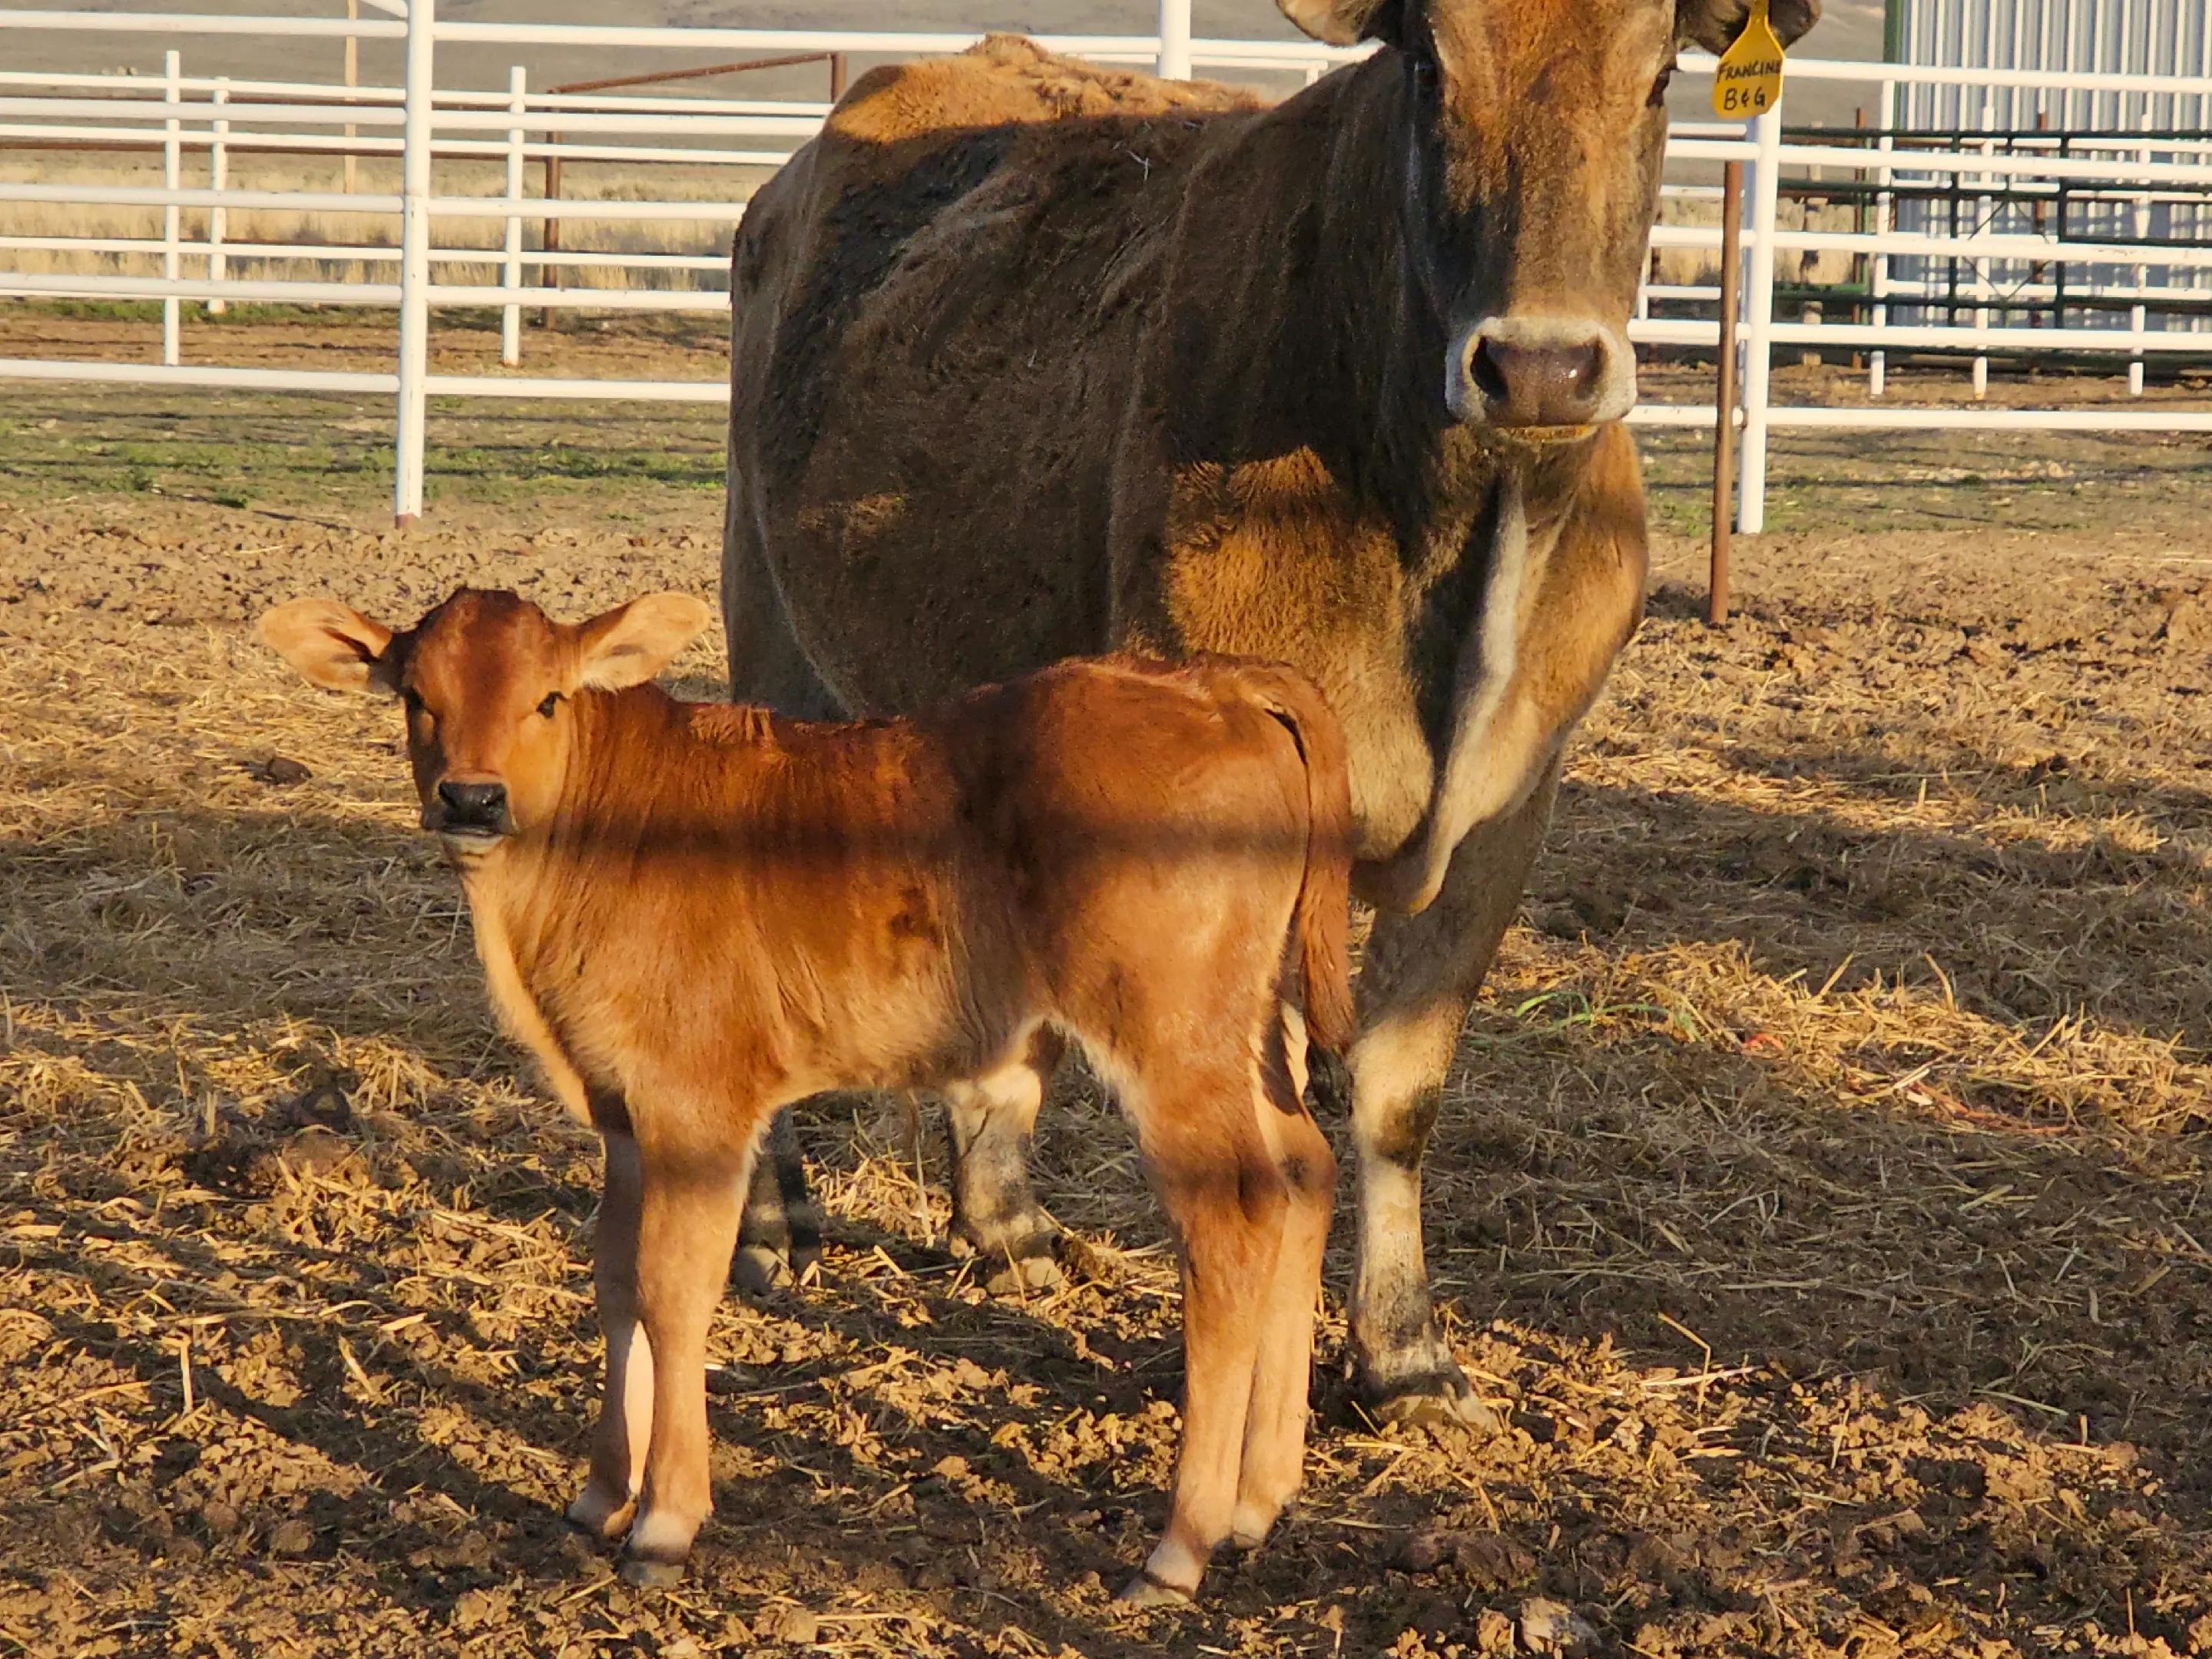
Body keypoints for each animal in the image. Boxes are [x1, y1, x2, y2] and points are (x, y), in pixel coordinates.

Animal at [257, 587, 1352, 1603]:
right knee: (1307, 1172)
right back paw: (1259, 1500)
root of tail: (1209, 681)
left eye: (548, 697)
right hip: (1254, 1031)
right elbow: (614, 1277)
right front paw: (603, 1492)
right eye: (416, 697)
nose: (472, 798)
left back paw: (1180, 1546)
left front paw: (664, 1521)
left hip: (1172, 1041)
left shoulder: (696, 1101)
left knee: (1235, 1219)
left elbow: (674, 1286)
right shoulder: (621, 1109)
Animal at [719, 0, 1819, 1425]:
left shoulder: (1517, 803)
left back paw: (1003, 1223)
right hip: (769, 625)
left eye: (1661, 75)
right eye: (1428, 66)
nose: (1540, 365)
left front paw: (1402, 1357)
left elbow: (1399, 1093)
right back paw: (771, 1223)